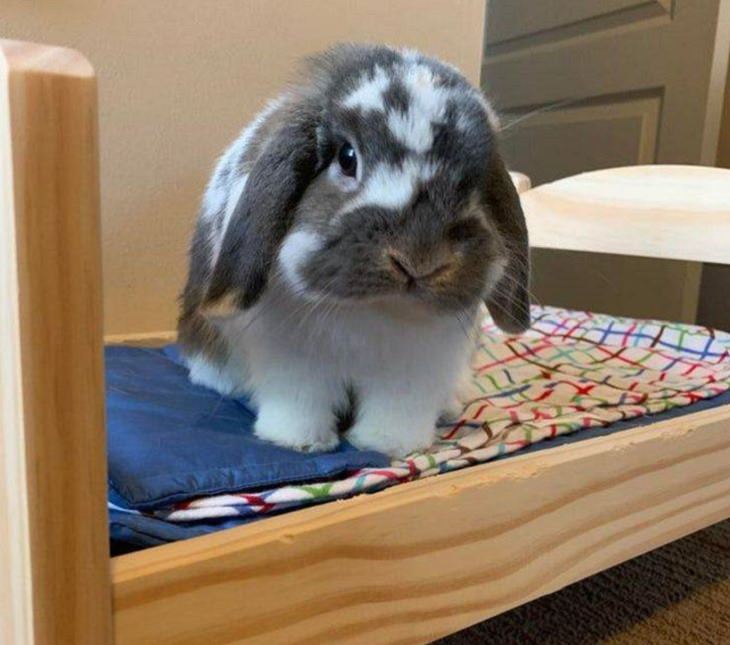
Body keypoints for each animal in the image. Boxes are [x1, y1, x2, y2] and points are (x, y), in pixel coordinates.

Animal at [178, 44, 528, 458]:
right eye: (347, 158)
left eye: (475, 181)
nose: (419, 260)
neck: (372, 310)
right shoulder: (293, 362)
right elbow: (299, 403)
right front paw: (299, 442)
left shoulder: (416, 368)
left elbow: (396, 411)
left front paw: (390, 445)